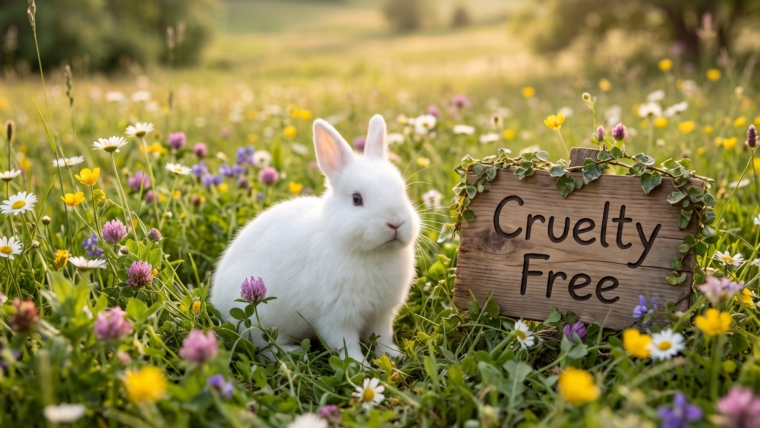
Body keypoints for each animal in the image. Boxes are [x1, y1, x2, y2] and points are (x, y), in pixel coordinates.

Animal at [210, 114, 420, 363]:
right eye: (357, 199)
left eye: (404, 191)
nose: (395, 222)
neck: (373, 253)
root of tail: (216, 297)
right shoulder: (336, 316)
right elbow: (345, 343)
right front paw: (359, 366)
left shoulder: (382, 314)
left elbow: (382, 337)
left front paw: (393, 356)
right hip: (258, 316)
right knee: (265, 345)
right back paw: (294, 352)